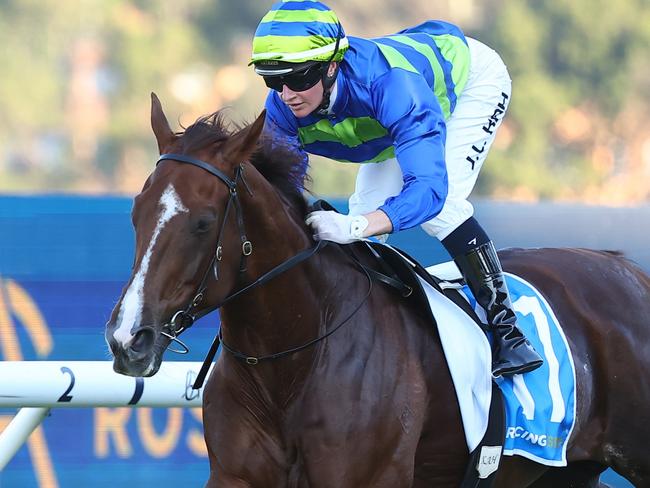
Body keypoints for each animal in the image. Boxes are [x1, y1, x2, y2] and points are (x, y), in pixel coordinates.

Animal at [104, 92, 648, 488]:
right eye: (135, 212)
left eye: (202, 222)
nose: (128, 338)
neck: (292, 363)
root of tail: (628, 270)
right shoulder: (236, 476)